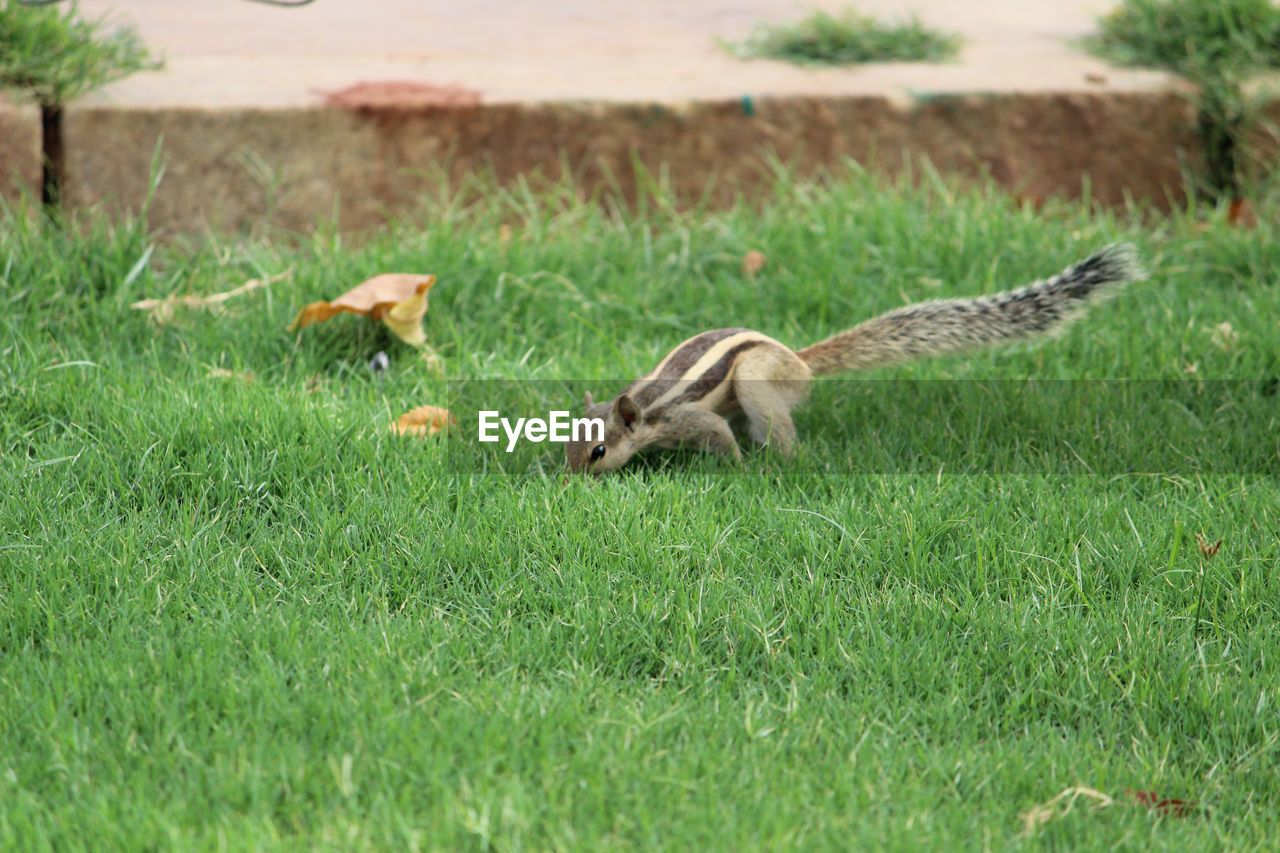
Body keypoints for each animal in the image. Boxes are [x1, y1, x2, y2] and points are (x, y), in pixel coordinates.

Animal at [565, 242, 1146, 473]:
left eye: (599, 452)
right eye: (568, 444)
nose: (573, 481)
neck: (648, 406)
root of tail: (800, 360)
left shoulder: (687, 418)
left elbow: (716, 435)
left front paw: (731, 466)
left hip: (758, 379)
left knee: (772, 422)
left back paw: (775, 460)